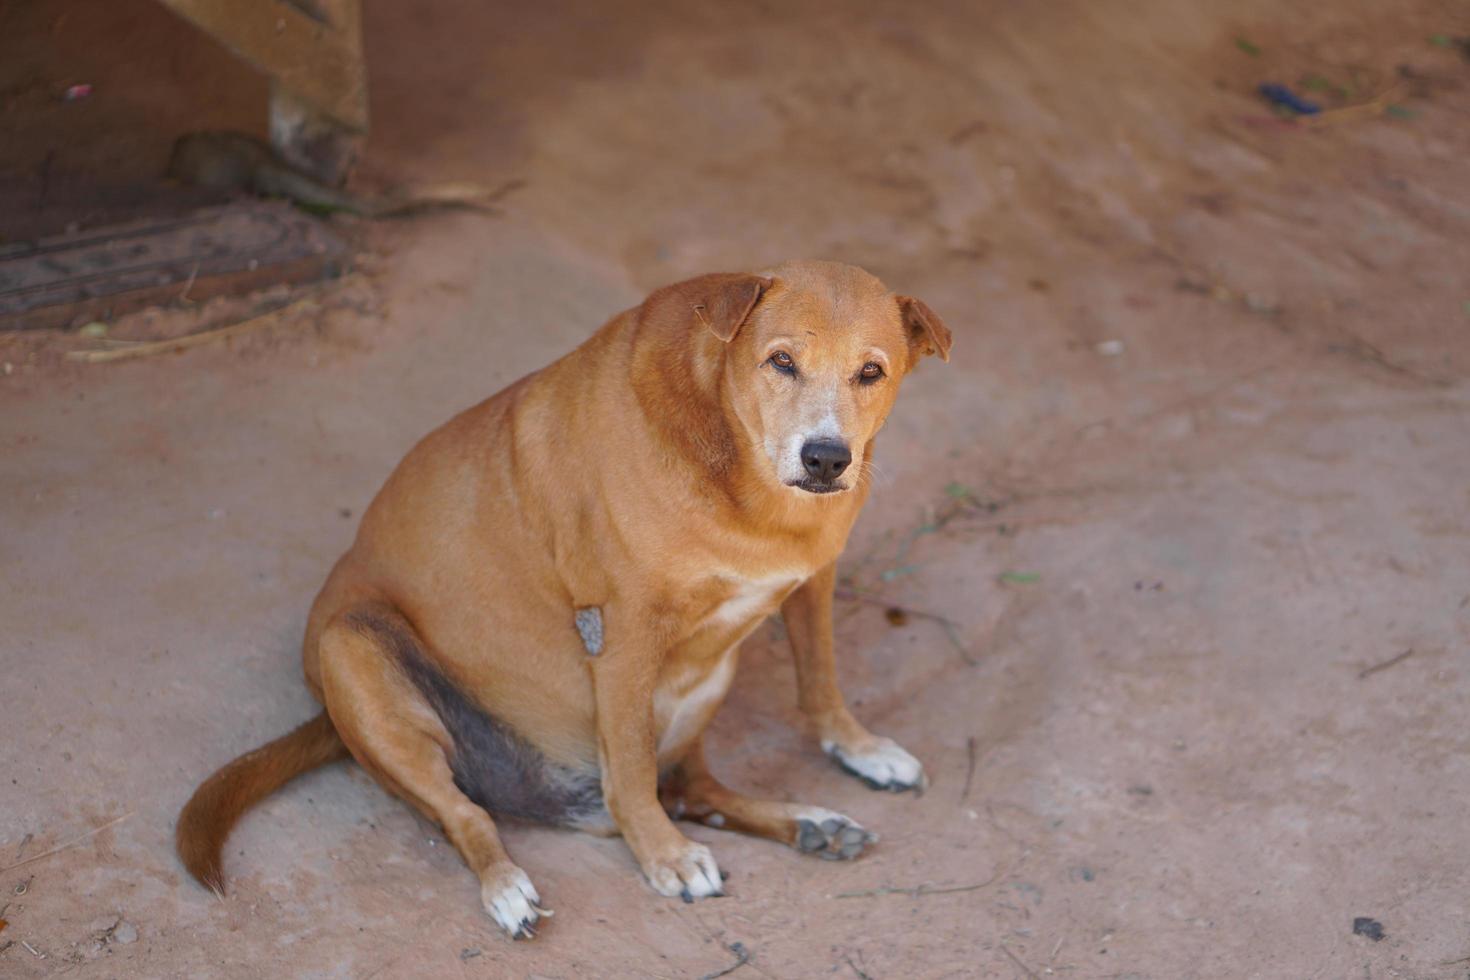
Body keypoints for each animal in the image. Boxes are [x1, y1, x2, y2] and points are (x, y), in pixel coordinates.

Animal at [174, 258, 952, 934]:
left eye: (871, 371)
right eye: (781, 361)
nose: (826, 459)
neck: (749, 484)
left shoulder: (813, 578)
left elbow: (821, 680)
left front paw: (859, 747)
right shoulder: (624, 633)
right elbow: (630, 773)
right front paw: (664, 857)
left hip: (708, 678)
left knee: (693, 788)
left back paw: (810, 824)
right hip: (355, 653)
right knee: (469, 815)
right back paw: (507, 886)